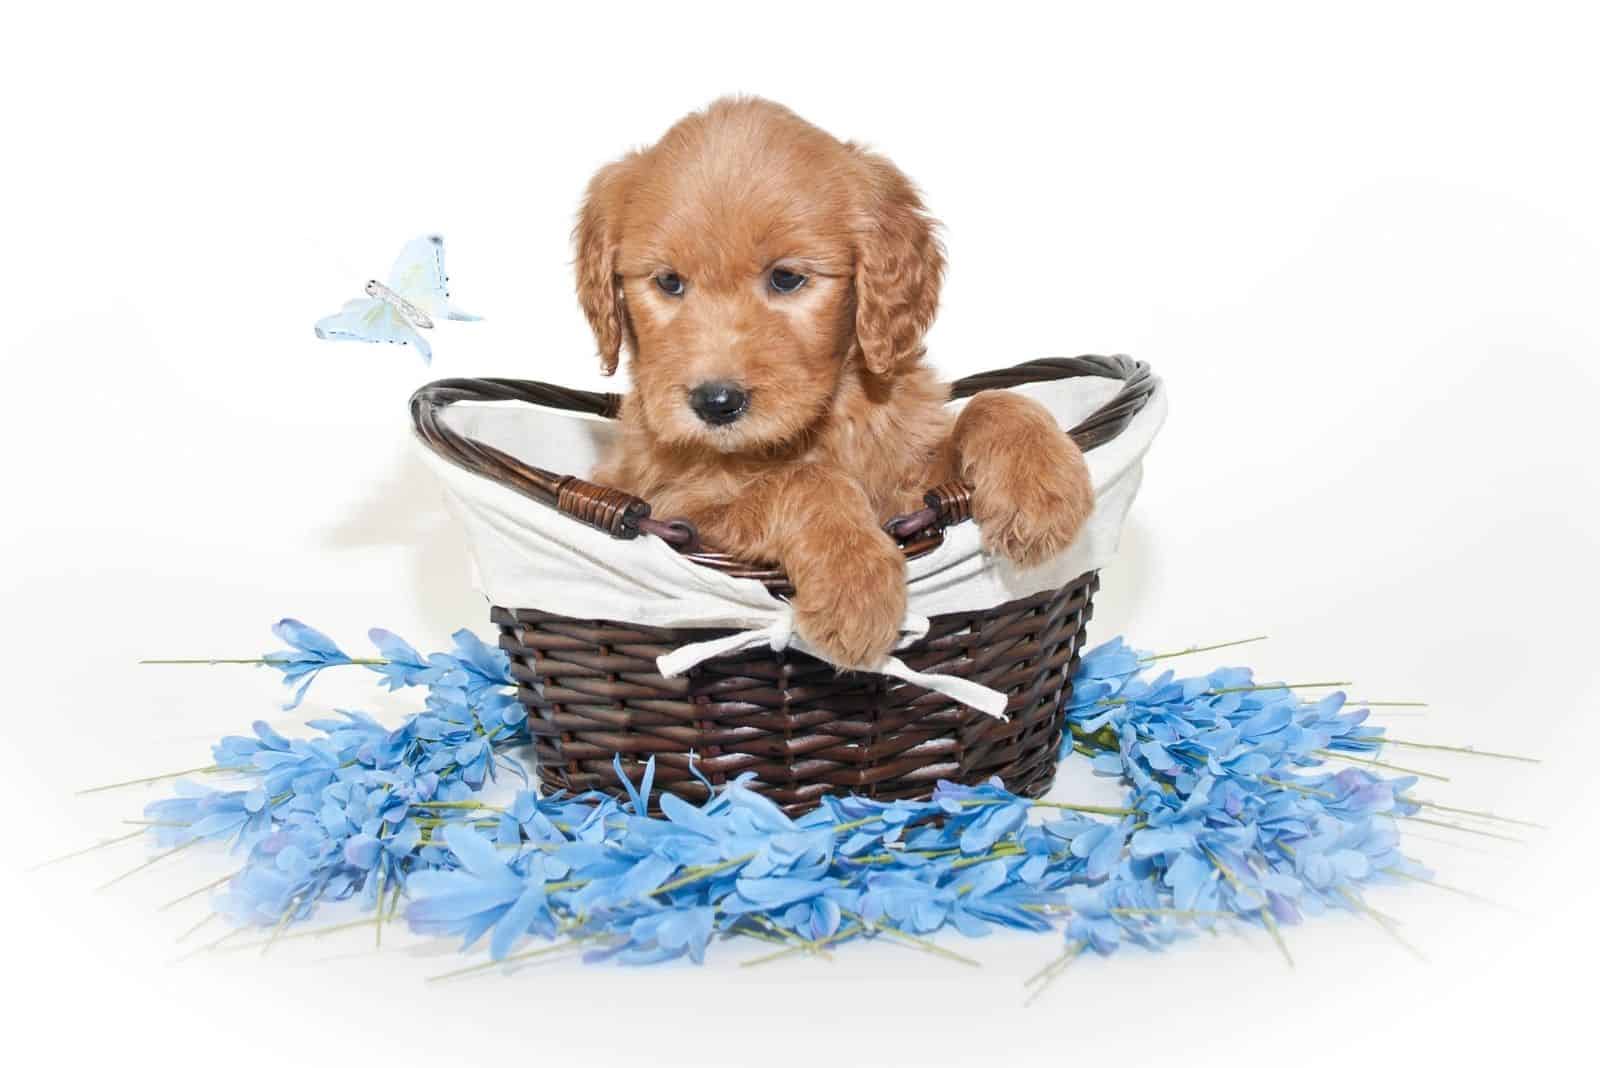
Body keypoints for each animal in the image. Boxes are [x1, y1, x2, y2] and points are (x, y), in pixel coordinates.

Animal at [582, 97, 1094, 668]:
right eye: (668, 282)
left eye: (786, 278)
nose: (716, 402)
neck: (818, 428)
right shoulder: (679, 513)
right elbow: (803, 481)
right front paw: (854, 580)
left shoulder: (909, 491)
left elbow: (992, 401)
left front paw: (1042, 489)